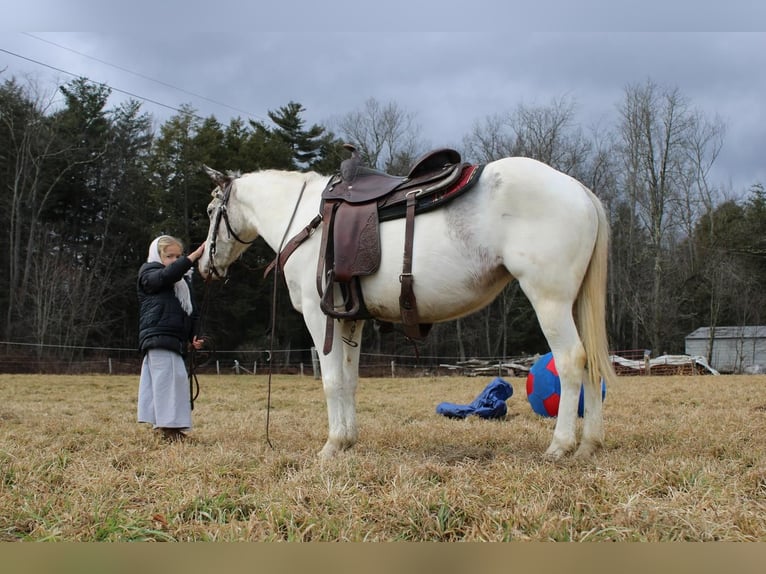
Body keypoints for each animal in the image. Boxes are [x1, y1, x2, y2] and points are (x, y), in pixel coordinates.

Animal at [200, 158, 616, 464]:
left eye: (209, 210)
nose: (205, 266)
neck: (305, 218)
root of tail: (578, 190)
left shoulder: (322, 318)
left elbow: (331, 381)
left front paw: (331, 446)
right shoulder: (351, 320)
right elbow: (349, 381)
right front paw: (347, 440)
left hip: (549, 300)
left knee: (570, 361)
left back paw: (561, 446)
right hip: (574, 304)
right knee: (591, 363)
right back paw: (589, 445)